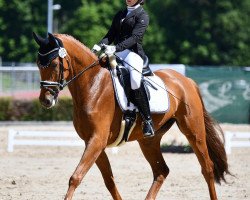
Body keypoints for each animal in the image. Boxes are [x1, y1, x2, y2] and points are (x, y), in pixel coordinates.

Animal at [33, 32, 230, 198]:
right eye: (38, 64)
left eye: (54, 64)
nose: (46, 100)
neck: (92, 85)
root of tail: (186, 80)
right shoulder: (93, 142)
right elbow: (109, 181)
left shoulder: (97, 140)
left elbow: (76, 177)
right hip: (149, 140)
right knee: (161, 171)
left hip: (193, 131)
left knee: (207, 168)